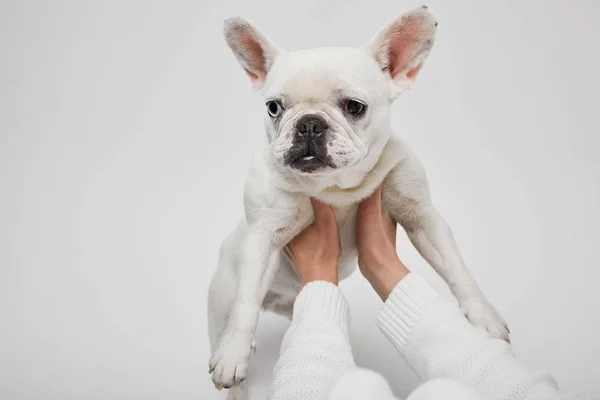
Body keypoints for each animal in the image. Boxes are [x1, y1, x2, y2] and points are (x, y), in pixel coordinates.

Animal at [209, 7, 508, 400]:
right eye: (274, 108)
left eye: (354, 106)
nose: (309, 124)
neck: (336, 187)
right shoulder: (263, 235)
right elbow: (246, 302)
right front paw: (232, 354)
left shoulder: (423, 217)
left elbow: (457, 268)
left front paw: (484, 318)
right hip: (220, 301)